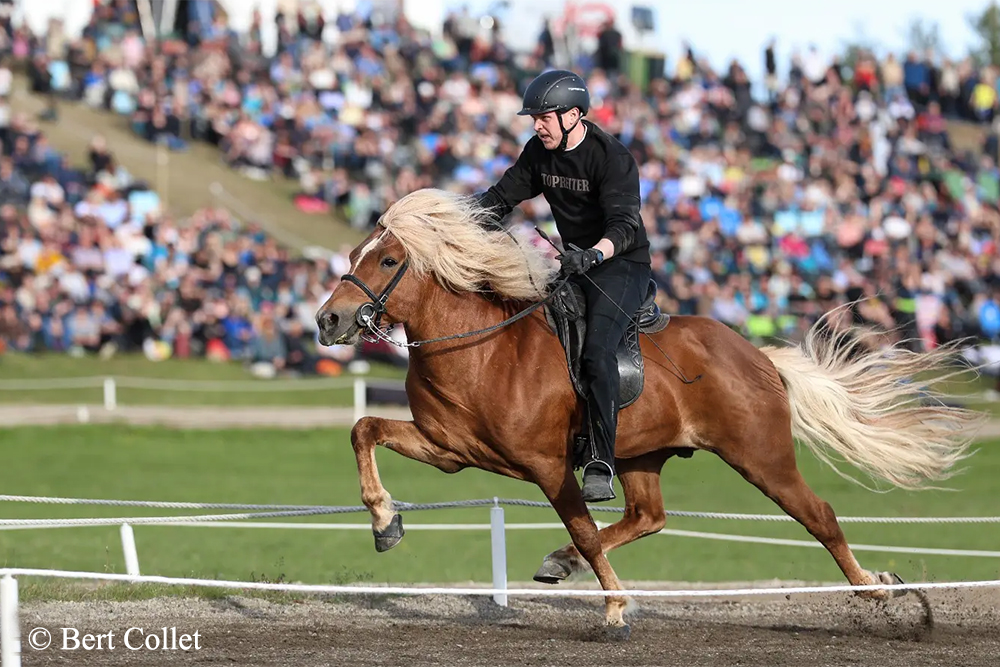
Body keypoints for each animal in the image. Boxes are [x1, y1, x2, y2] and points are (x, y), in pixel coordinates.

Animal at [318, 188, 984, 636]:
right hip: (642, 455)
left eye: (386, 260)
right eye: (354, 251)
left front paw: (615, 606)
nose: (328, 320)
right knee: (649, 516)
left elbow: (584, 528)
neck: (481, 348)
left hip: (759, 456)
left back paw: (877, 590)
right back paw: (558, 563)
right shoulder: (449, 450)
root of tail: (757, 355)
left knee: (817, 515)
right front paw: (384, 522)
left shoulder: (547, 467)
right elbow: (363, 430)